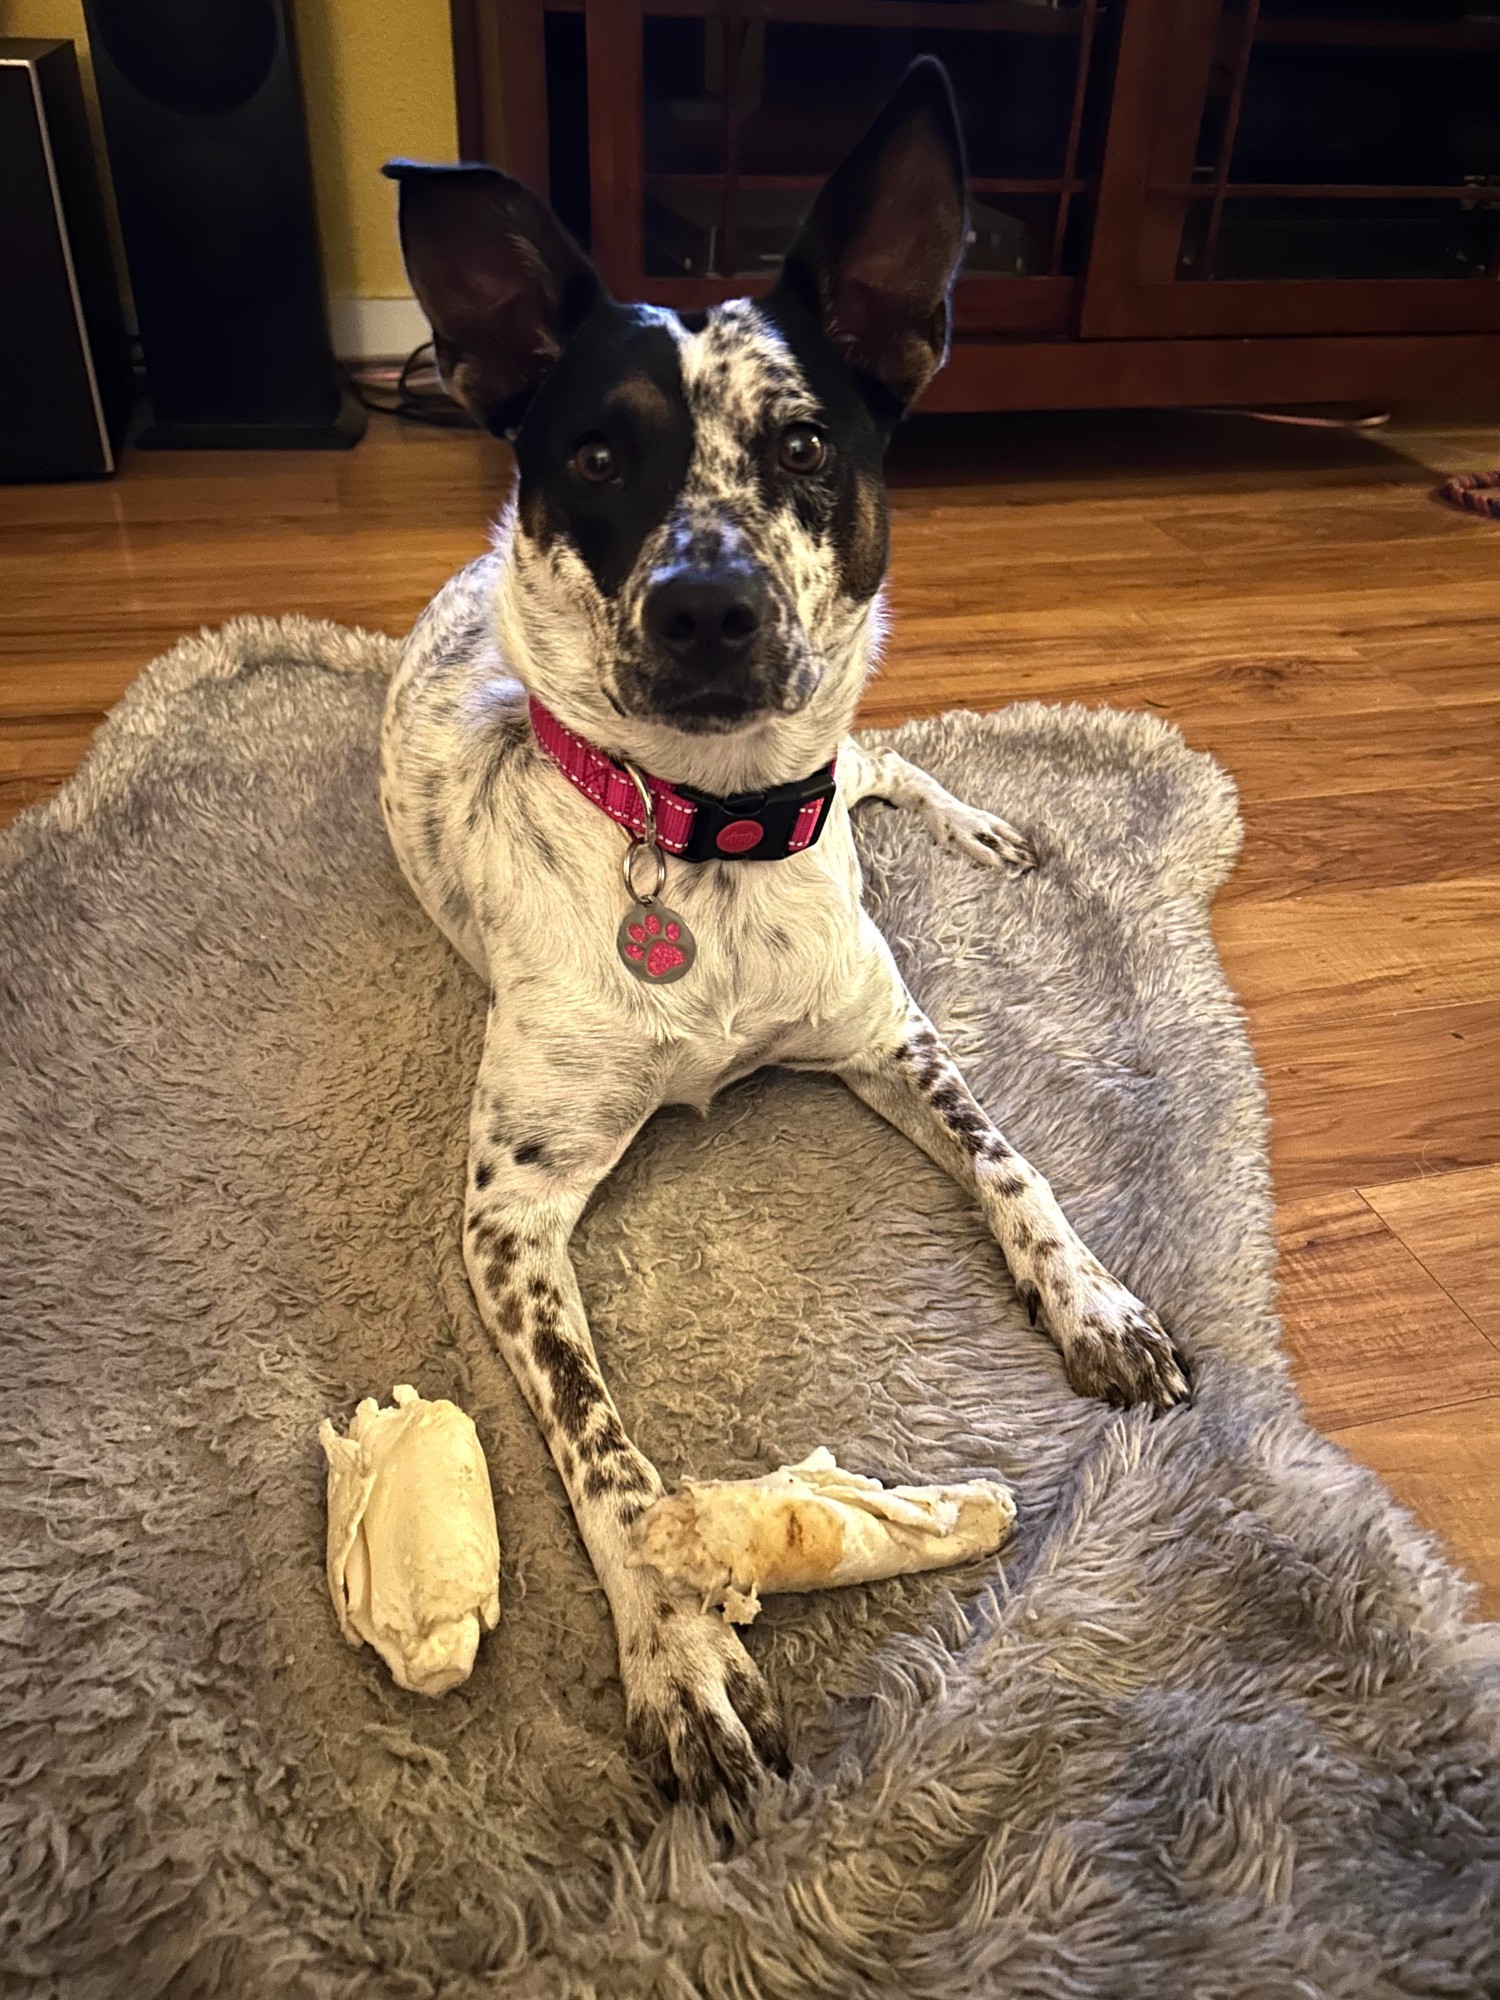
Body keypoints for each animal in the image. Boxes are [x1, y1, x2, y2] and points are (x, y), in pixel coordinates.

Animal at [379, 57, 1191, 1813]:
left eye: (806, 441)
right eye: (596, 458)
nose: (708, 606)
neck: (708, 840)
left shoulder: (894, 1038)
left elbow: (1017, 1164)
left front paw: (1098, 1304)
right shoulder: (511, 1214)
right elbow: (607, 1453)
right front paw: (680, 1648)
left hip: (863, 784)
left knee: (885, 765)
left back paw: (994, 831)